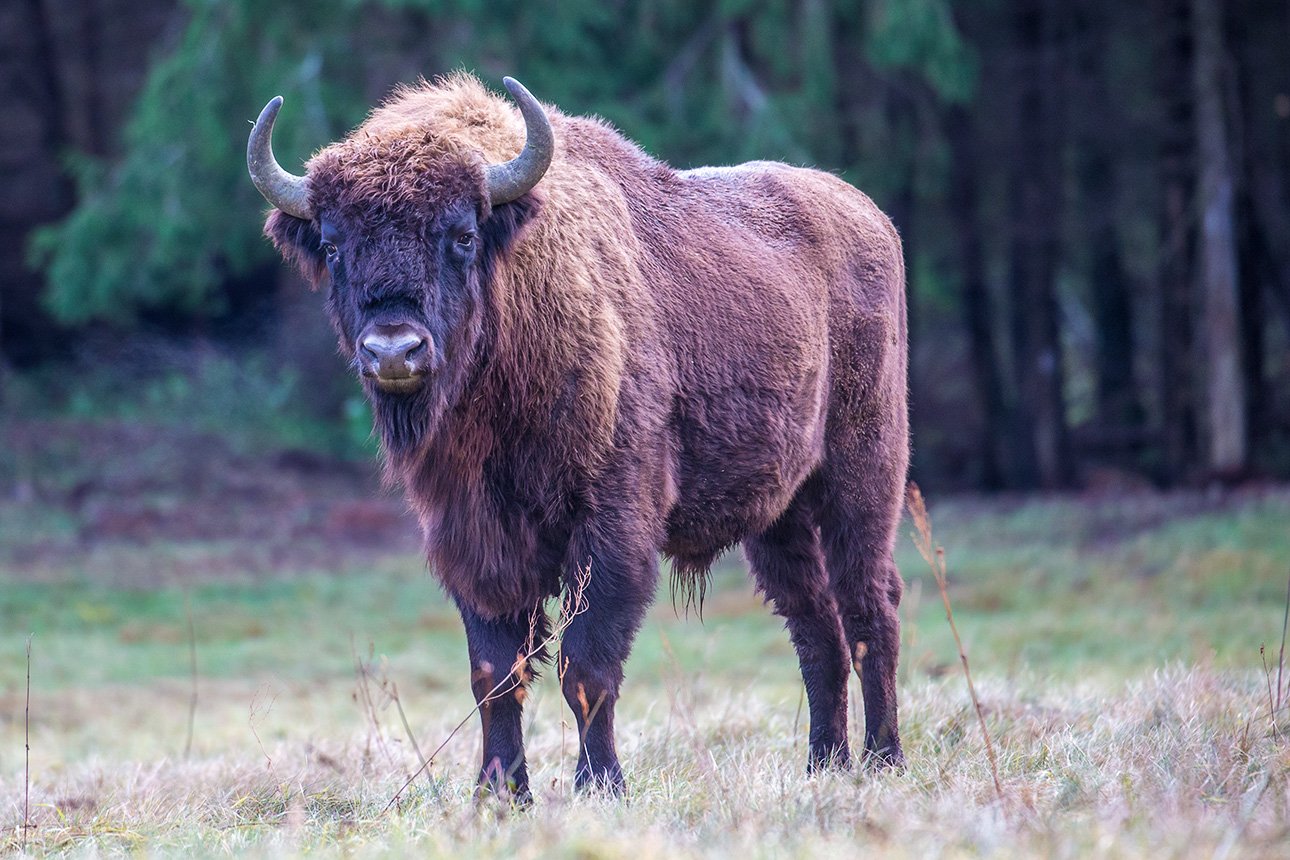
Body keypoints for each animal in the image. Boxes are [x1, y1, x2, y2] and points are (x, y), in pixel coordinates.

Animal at [246, 74, 913, 799]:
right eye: (334, 245)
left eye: (460, 235)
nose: (394, 350)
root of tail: (868, 216)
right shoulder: (475, 538)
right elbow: (495, 674)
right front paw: (499, 794)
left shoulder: (611, 529)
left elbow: (586, 667)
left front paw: (600, 786)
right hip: (779, 515)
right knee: (814, 625)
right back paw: (825, 764)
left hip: (863, 473)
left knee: (869, 606)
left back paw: (884, 759)